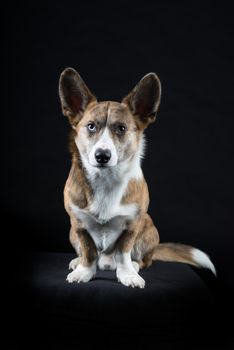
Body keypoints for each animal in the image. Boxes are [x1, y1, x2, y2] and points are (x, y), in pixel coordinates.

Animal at [58, 67, 216, 288]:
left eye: (121, 128)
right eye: (91, 126)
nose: (102, 156)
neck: (106, 179)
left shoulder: (132, 225)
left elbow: (123, 253)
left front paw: (128, 275)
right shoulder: (79, 224)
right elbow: (88, 252)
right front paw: (84, 272)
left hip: (149, 227)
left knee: (143, 260)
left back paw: (134, 265)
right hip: (71, 232)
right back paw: (77, 261)